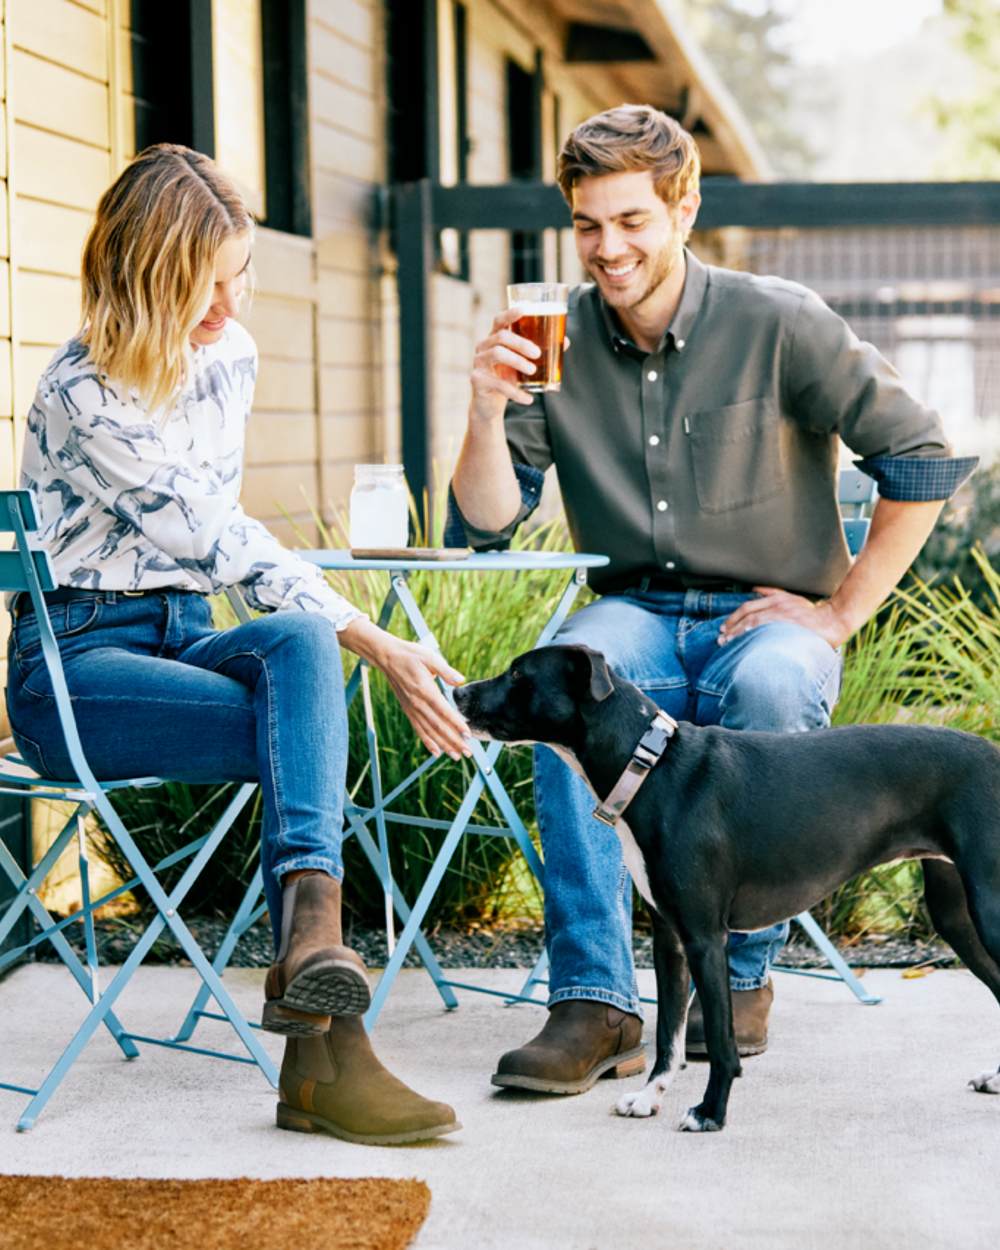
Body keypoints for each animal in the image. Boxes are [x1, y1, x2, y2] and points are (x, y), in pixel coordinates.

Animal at [457, 645, 1000, 1135]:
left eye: (518, 674)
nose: (458, 692)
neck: (651, 766)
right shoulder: (670, 940)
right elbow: (668, 1035)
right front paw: (649, 1098)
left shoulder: (704, 938)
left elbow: (720, 1041)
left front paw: (710, 1113)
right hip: (957, 917)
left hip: (988, 912)